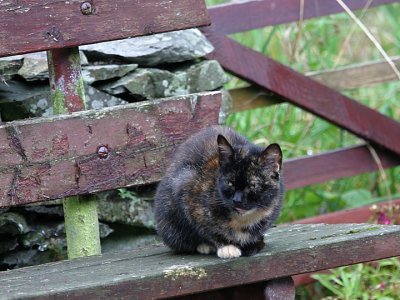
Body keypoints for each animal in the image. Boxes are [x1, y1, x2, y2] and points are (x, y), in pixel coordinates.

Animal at [154, 125, 284, 258]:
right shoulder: (186, 189)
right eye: (229, 182)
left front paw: (255, 243)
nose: (237, 200)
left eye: (252, 185)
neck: (243, 220)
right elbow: (208, 230)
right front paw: (226, 246)